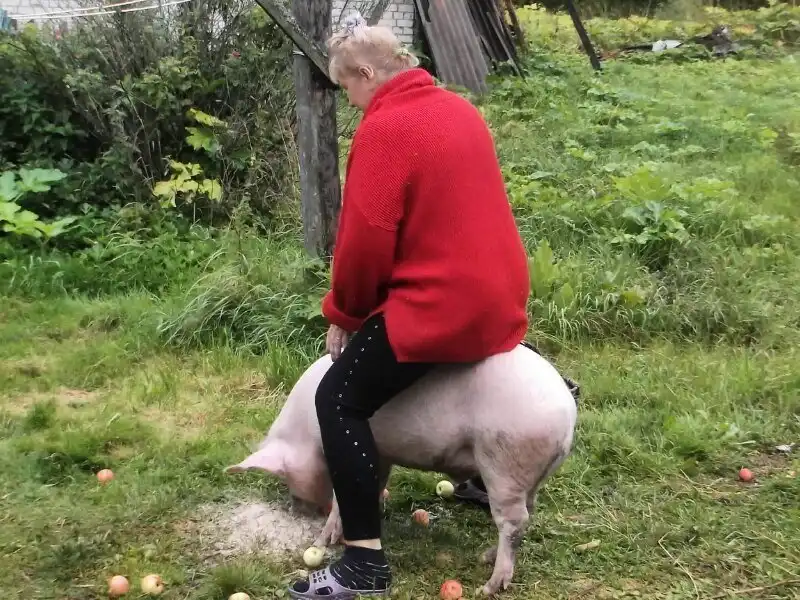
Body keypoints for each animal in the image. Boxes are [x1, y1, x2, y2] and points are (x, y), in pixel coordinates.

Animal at [225, 342, 578, 596]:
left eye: (286, 477)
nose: (297, 507)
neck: (306, 430)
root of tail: (567, 413)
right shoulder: (381, 452)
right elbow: (374, 482)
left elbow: (341, 498)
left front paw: (323, 540)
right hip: (526, 475)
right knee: (526, 515)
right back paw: (486, 557)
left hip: (504, 462)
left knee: (514, 522)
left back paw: (488, 586)